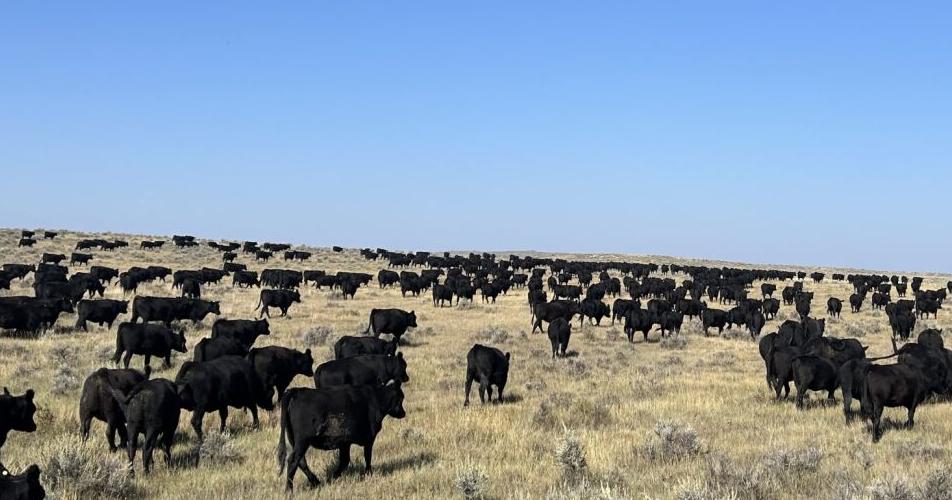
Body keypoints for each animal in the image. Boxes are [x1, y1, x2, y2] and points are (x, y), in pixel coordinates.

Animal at [276, 383, 406, 490]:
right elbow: (367, 456)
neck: (376, 398)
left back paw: (316, 482)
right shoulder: (369, 438)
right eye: (401, 398)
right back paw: (289, 490)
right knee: (293, 460)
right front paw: (368, 474)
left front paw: (331, 479)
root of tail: (297, 391)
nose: (403, 413)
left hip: (294, 439)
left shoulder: (345, 442)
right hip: (303, 440)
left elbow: (344, 461)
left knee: (301, 461)